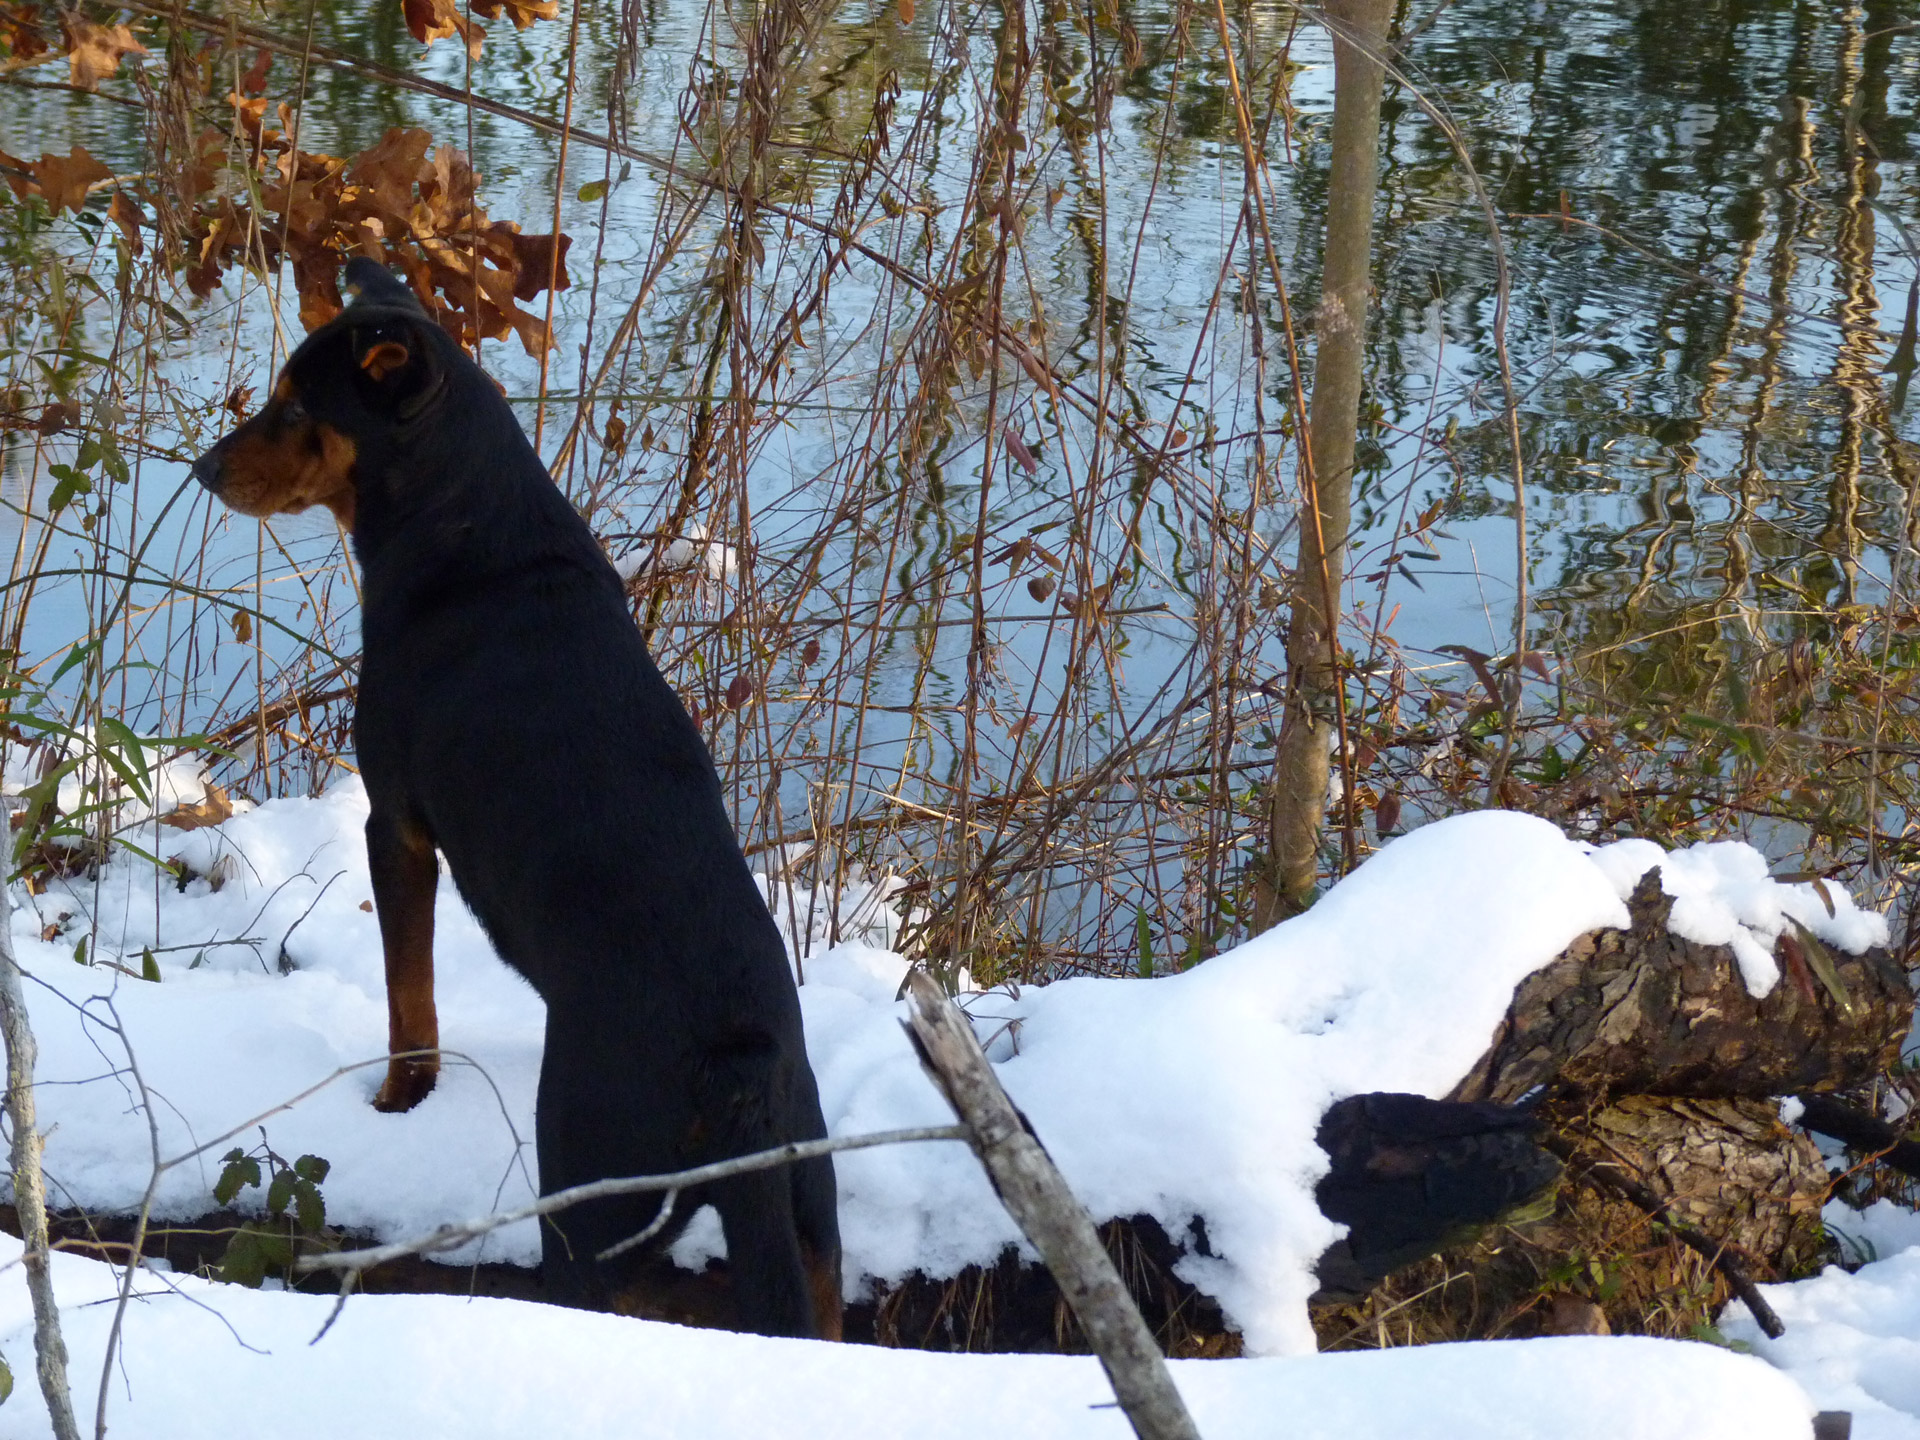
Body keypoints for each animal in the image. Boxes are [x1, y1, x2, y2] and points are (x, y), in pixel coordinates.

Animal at [192, 257, 840, 1344]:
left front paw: (394, 1107)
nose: (203, 472)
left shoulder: (395, 821)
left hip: (589, 1187)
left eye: (296, 408)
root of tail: (740, 1065)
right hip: (809, 1213)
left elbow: (411, 1001)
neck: (468, 528)